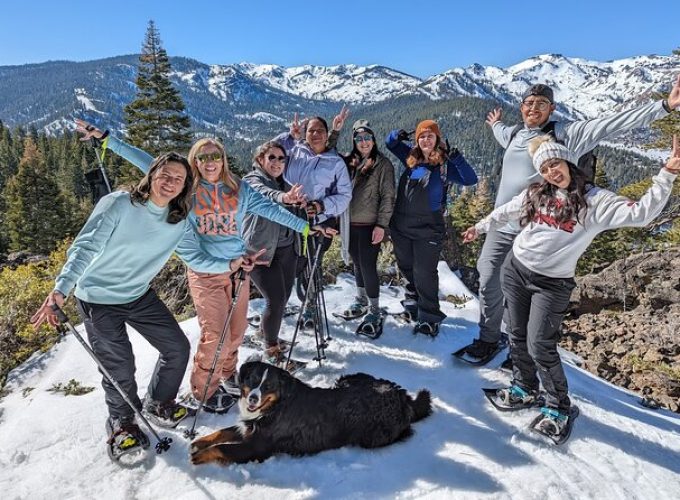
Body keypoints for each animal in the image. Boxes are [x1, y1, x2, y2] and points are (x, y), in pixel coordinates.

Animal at [189, 360, 430, 464]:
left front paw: (199, 456)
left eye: (268, 386)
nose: (253, 398)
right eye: (253, 381)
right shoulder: (248, 427)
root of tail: (401, 397)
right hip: (348, 378)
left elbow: (222, 448)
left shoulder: (256, 446)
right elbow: (221, 433)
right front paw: (198, 442)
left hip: (371, 436)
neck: (276, 406)